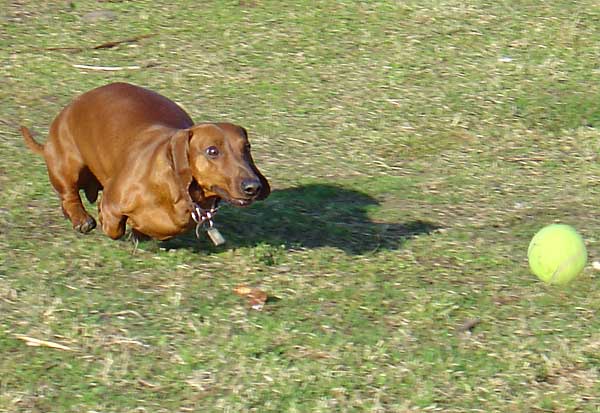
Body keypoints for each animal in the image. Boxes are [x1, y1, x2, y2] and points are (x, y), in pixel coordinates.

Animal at [21, 81, 270, 240]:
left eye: (247, 147)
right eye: (212, 151)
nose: (253, 187)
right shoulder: (113, 201)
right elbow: (114, 226)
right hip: (67, 166)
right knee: (69, 195)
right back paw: (81, 218)